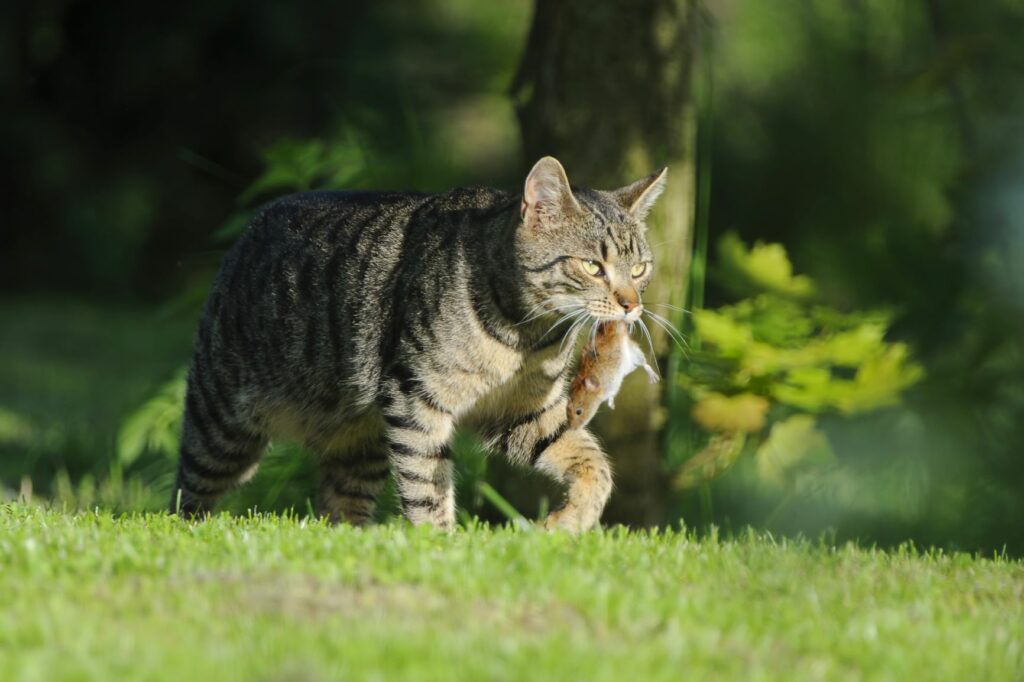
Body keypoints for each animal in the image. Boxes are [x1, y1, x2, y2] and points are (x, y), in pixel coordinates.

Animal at [169, 155, 663, 532]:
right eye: (593, 267)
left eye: (640, 269)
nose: (632, 305)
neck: (526, 336)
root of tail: (251, 227)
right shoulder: (416, 399)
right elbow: (427, 484)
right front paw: (437, 545)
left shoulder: (520, 412)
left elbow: (594, 463)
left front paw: (570, 522)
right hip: (222, 426)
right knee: (187, 492)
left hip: (358, 444)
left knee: (340, 507)